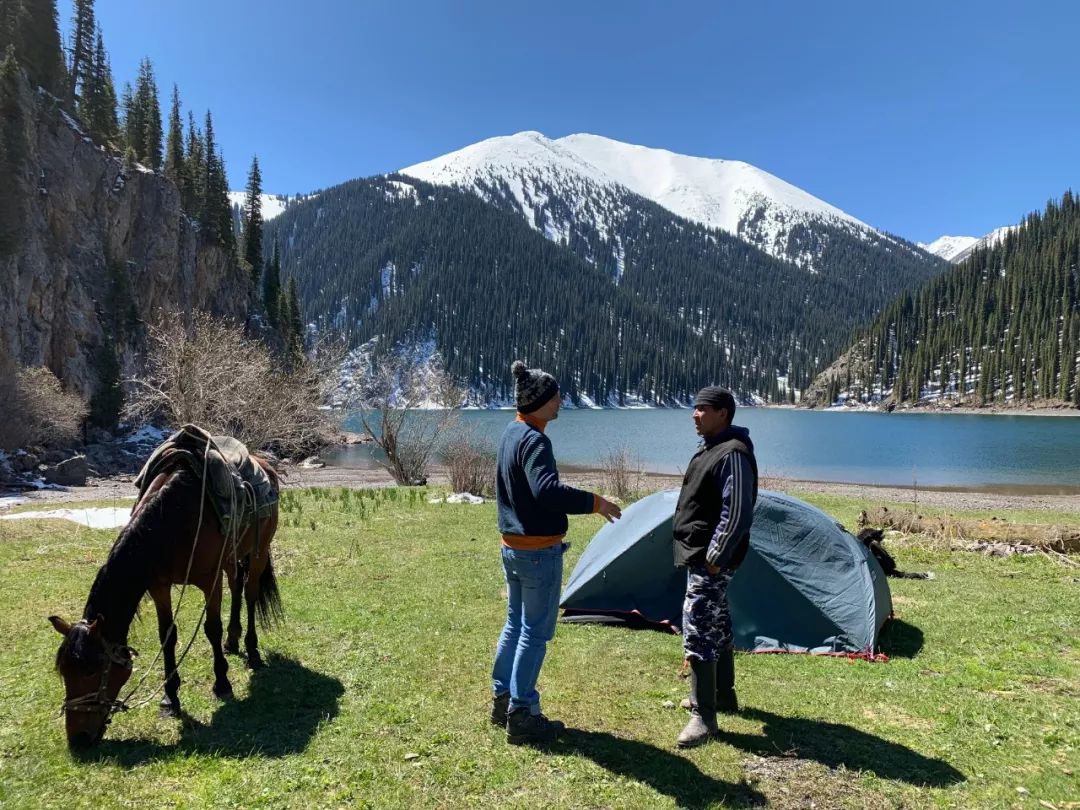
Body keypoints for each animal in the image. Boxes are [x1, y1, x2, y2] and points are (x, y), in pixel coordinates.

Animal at [48, 457, 280, 747]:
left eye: (91, 670)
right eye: (64, 672)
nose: (78, 739)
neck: (173, 521)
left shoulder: (210, 581)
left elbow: (211, 629)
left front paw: (222, 683)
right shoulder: (159, 586)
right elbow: (167, 635)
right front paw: (170, 698)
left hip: (258, 553)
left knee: (249, 594)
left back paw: (252, 651)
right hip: (232, 558)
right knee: (237, 587)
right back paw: (232, 641)